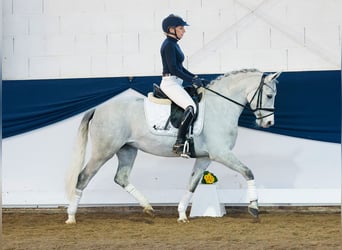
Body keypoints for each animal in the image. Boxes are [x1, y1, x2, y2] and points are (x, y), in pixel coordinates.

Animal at [65, 68, 280, 223]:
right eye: (270, 96)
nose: (268, 123)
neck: (220, 106)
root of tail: (98, 109)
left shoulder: (205, 158)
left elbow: (192, 183)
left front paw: (182, 214)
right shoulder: (221, 153)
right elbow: (248, 172)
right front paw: (254, 207)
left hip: (127, 150)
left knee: (121, 177)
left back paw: (148, 208)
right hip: (104, 151)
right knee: (83, 177)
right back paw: (71, 217)